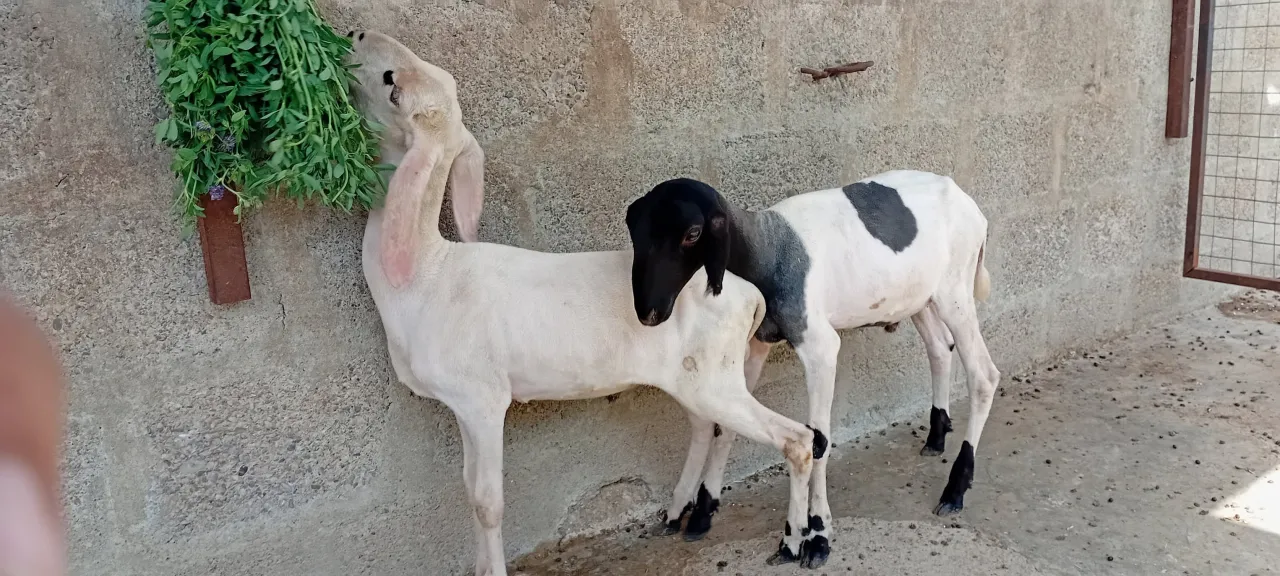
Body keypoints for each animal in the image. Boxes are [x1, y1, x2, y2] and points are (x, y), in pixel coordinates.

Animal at [344, 31, 826, 576]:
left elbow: (487, 502)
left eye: (392, 86)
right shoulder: (464, 403)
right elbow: (470, 494)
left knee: (798, 440)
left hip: (715, 378)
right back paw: (679, 512)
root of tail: (748, 294)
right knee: (710, 426)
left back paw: (794, 541)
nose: (355, 35)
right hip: (695, 378)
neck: (427, 273)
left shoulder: (483, 398)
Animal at [625, 173, 999, 569]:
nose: (649, 312)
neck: (768, 247)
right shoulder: (758, 342)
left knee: (984, 376)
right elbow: (725, 427)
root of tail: (965, 199)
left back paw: (955, 490)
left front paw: (815, 537)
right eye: (635, 230)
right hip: (919, 297)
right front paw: (702, 514)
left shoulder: (819, 347)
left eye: (692, 233)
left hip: (955, 293)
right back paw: (937, 436)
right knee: (940, 348)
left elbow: (819, 440)